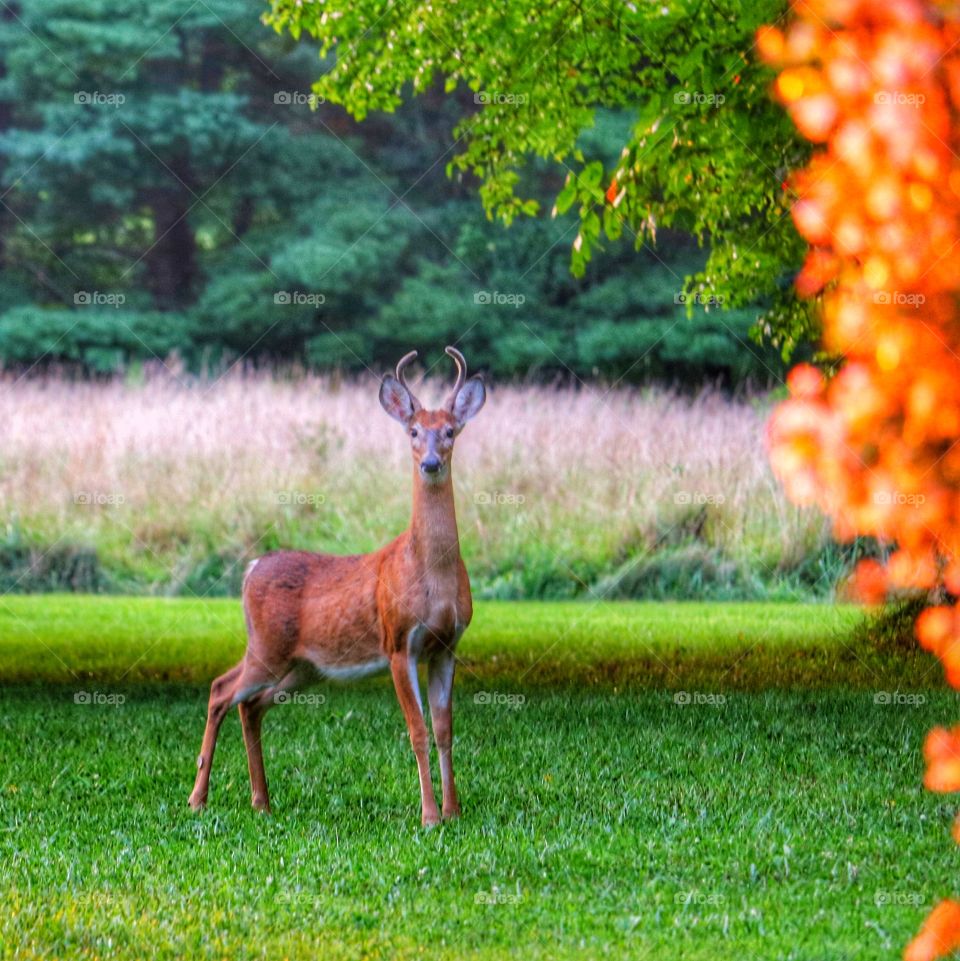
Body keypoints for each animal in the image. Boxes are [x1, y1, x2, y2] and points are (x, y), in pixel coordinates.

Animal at [188, 344, 488, 824]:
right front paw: (429, 816)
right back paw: (198, 798)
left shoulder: (447, 645)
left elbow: (444, 729)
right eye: (413, 431)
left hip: (303, 666)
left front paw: (454, 811)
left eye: (450, 431)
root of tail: (251, 567)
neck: (431, 576)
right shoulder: (398, 641)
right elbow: (418, 730)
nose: (430, 463)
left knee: (251, 703)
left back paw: (262, 801)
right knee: (221, 690)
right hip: (267, 645)